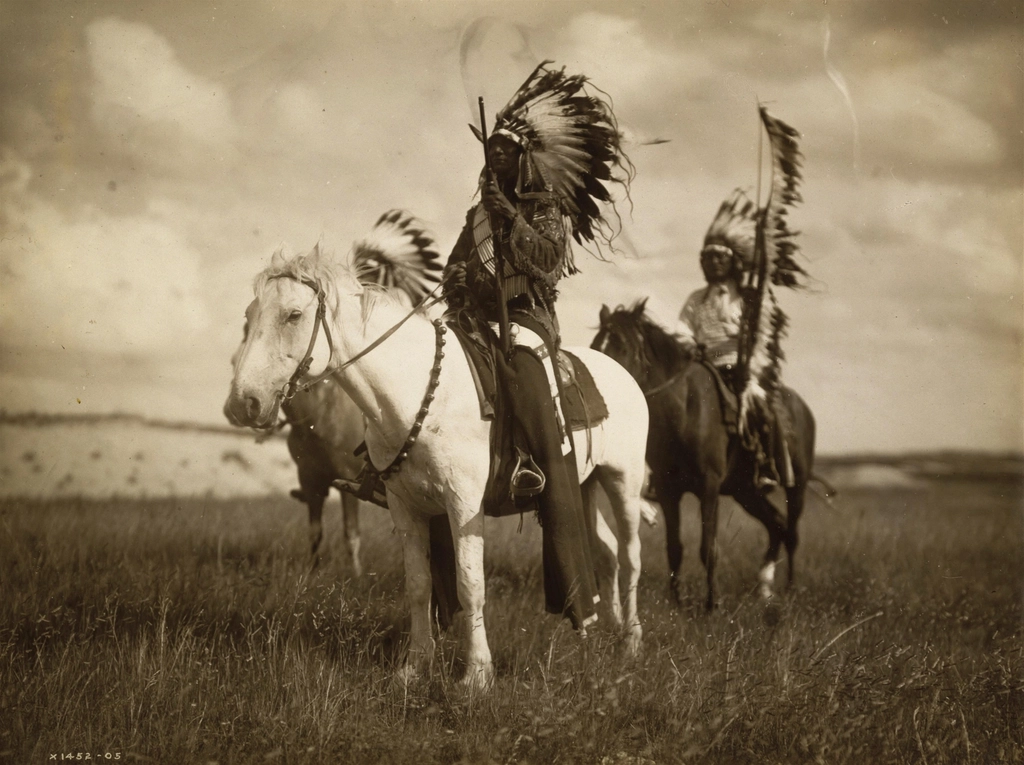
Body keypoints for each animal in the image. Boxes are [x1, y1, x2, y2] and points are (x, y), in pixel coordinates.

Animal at [224, 243, 652, 691]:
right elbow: (418, 585)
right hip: (584, 486)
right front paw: (414, 667)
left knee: (630, 556)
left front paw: (477, 675)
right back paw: (606, 626)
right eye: (249, 315)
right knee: (607, 551)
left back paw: (630, 642)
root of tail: (621, 373)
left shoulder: (463, 506)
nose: (243, 403)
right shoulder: (406, 508)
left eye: (293, 315)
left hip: (622, 481)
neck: (415, 392)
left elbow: (470, 585)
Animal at [592, 300, 817, 611]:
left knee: (792, 533)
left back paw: (790, 588)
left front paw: (712, 604)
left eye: (621, 346)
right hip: (746, 492)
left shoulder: (708, 487)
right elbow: (675, 547)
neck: (684, 410)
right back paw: (765, 589)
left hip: (797, 486)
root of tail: (802, 409)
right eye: (595, 345)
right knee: (777, 526)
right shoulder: (668, 490)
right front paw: (676, 602)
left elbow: (708, 548)